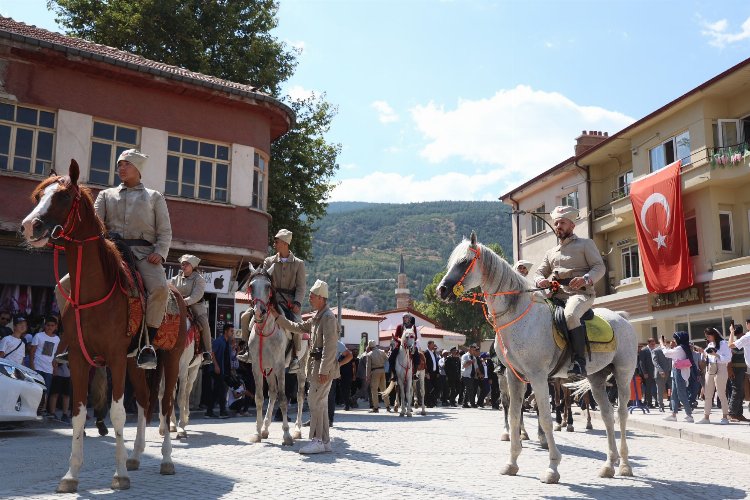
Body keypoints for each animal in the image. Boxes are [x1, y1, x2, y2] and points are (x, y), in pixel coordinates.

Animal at [20, 160, 188, 492]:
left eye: (62, 197)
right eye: (39, 196)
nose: (30, 225)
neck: (94, 290)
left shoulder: (115, 358)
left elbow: (118, 413)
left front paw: (119, 475)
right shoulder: (79, 359)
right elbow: (78, 414)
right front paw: (71, 476)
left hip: (170, 359)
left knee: (164, 405)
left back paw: (165, 461)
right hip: (136, 364)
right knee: (146, 402)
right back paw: (135, 456)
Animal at [244, 268, 308, 444]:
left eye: (268, 286)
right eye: (251, 286)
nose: (259, 311)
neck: (265, 331)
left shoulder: (279, 368)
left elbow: (284, 398)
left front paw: (286, 435)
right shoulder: (257, 368)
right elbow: (259, 398)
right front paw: (257, 432)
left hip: (301, 368)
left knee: (300, 396)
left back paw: (297, 430)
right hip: (268, 369)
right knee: (272, 393)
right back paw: (265, 429)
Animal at [440, 234, 640, 484]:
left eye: (464, 261)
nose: (442, 290)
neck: (518, 317)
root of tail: (621, 317)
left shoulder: (537, 377)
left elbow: (545, 417)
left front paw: (552, 467)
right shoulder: (514, 377)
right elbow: (514, 416)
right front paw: (512, 463)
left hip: (623, 374)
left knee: (621, 414)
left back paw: (624, 465)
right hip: (596, 378)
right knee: (607, 416)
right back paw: (608, 465)